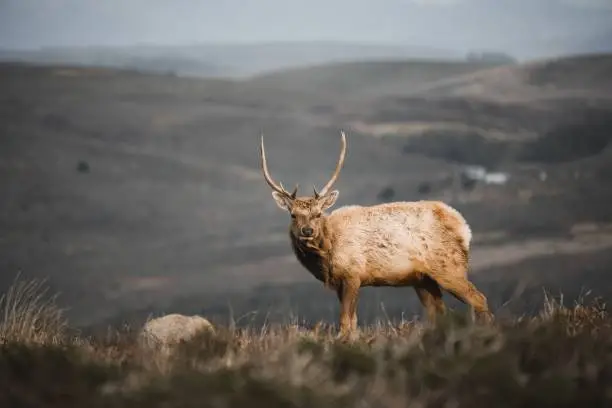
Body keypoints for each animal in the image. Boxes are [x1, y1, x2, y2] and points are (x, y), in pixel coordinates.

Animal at [258, 131, 492, 338]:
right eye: (293, 215)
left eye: (317, 214)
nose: (307, 231)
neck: (328, 254)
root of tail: (464, 227)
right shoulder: (339, 283)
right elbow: (353, 323)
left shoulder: (353, 274)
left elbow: (345, 322)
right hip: (423, 279)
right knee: (440, 313)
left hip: (449, 268)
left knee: (479, 299)